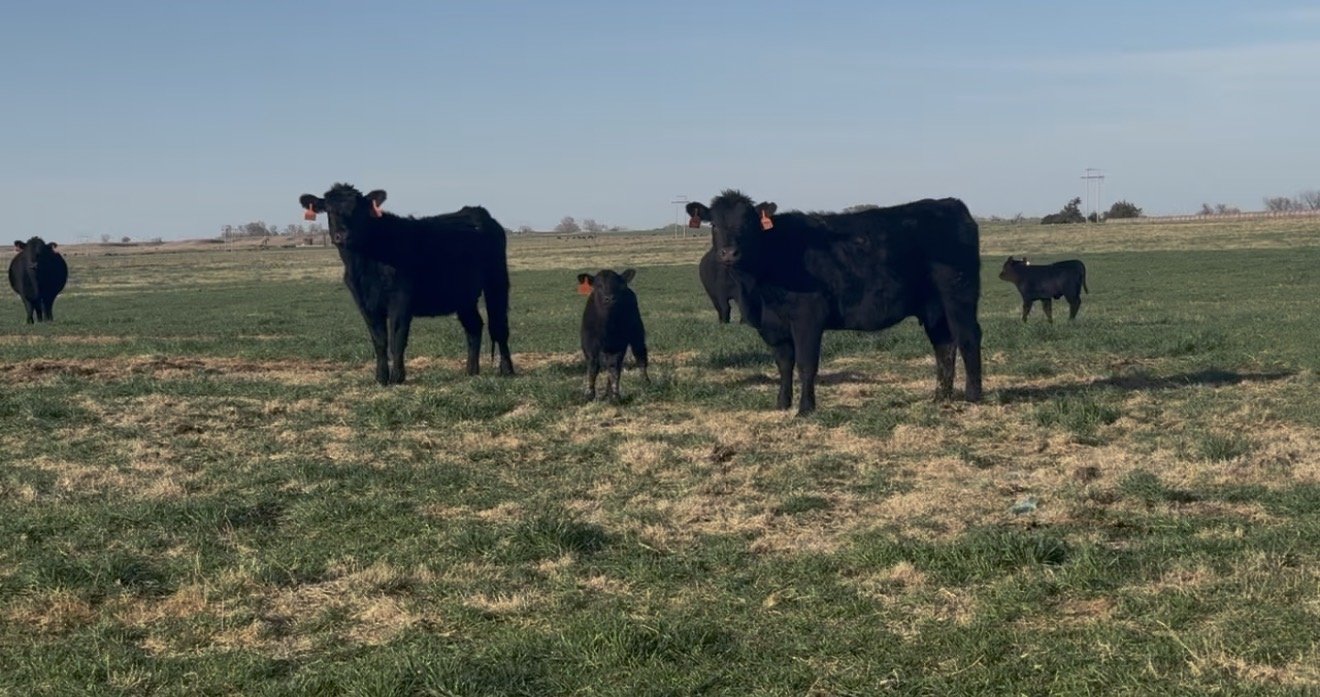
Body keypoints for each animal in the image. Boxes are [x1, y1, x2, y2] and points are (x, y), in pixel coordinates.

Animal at [299, 183, 514, 384]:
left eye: (358, 209)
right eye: (329, 210)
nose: (343, 235)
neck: (362, 265)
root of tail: (476, 211)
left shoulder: (400, 299)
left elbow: (397, 339)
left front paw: (397, 377)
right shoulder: (365, 304)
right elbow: (379, 341)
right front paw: (380, 378)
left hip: (497, 280)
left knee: (499, 326)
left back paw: (507, 370)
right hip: (463, 295)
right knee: (474, 326)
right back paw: (471, 371)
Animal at [577, 268, 649, 402]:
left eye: (617, 285)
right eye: (598, 285)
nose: (610, 298)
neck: (607, 326)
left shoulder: (618, 344)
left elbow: (614, 368)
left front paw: (615, 396)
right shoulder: (589, 343)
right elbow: (593, 366)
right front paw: (589, 394)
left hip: (637, 333)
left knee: (640, 357)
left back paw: (646, 382)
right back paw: (606, 393)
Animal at [687, 190, 983, 415]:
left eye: (747, 223)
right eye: (714, 224)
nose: (729, 253)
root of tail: (950, 203)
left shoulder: (808, 318)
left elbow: (806, 364)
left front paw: (805, 409)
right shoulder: (772, 326)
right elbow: (784, 364)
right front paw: (782, 404)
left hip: (959, 297)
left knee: (968, 337)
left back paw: (973, 395)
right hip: (934, 308)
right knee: (944, 345)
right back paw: (940, 397)